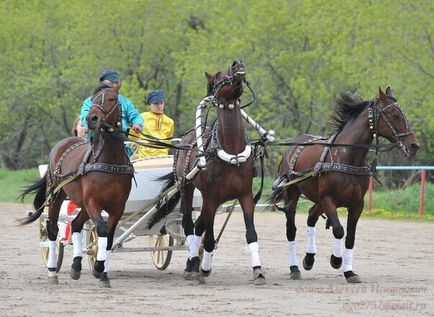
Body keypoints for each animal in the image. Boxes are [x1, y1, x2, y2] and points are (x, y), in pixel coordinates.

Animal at [20, 84, 132, 286]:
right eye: (93, 99)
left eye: (111, 99)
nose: (92, 118)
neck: (109, 162)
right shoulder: (93, 203)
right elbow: (102, 230)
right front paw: (98, 267)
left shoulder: (118, 207)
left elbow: (109, 238)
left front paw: (102, 273)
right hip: (56, 195)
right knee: (53, 229)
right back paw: (52, 271)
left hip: (82, 204)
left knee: (77, 224)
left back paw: (76, 265)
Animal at [149, 59, 264, 284]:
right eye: (218, 76)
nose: (237, 63)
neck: (231, 151)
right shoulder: (211, 198)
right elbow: (209, 238)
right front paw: (204, 269)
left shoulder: (245, 196)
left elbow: (251, 234)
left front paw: (258, 270)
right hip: (187, 187)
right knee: (188, 223)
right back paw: (194, 264)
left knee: (198, 225)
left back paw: (192, 262)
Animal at [272, 86, 418, 282]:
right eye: (395, 115)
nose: (414, 145)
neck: (347, 157)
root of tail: (292, 146)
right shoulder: (328, 200)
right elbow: (339, 230)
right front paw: (336, 260)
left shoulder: (357, 204)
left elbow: (350, 238)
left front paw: (349, 272)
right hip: (292, 195)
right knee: (291, 230)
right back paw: (294, 268)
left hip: (317, 199)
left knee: (311, 216)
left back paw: (309, 259)